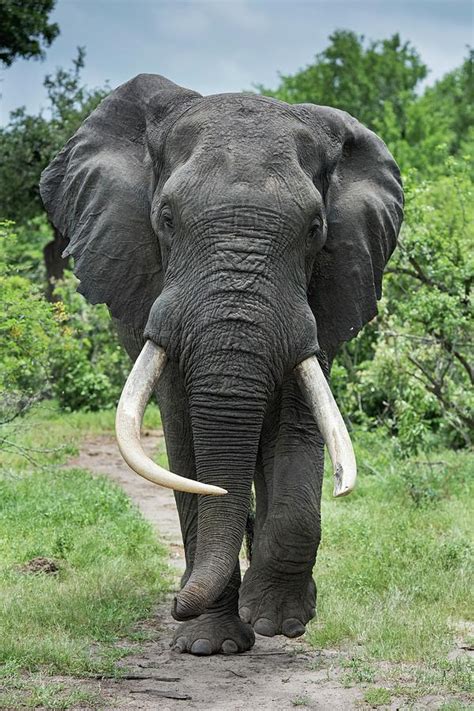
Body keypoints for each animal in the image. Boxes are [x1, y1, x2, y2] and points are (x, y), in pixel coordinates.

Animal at [41, 72, 404, 656]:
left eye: (315, 228)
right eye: (166, 219)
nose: (176, 604)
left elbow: (298, 422)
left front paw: (277, 621)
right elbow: (186, 439)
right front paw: (211, 645)